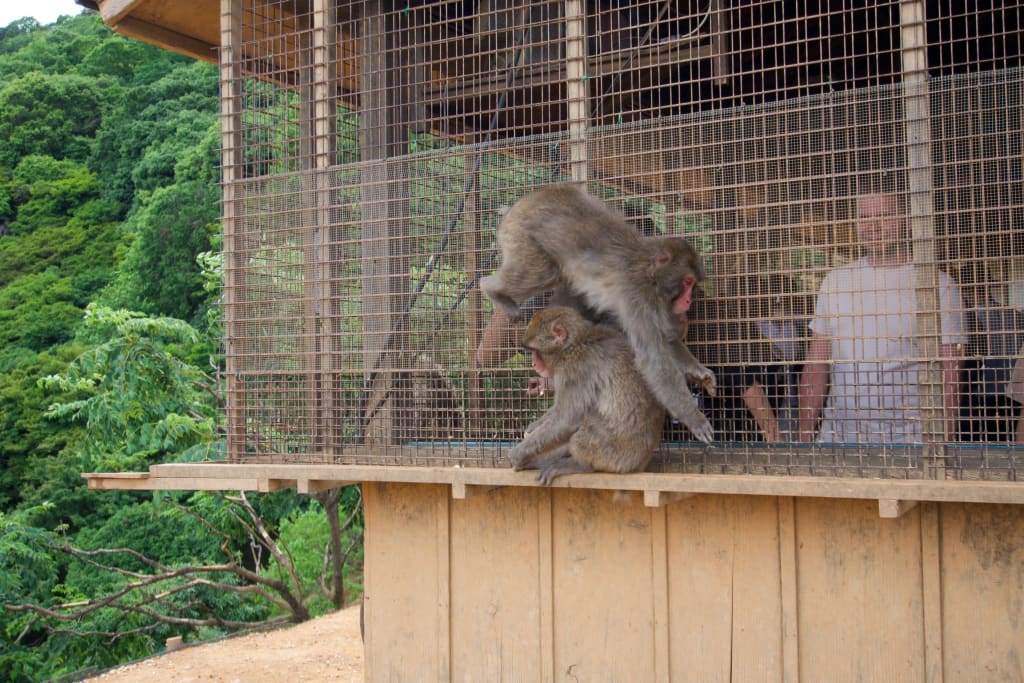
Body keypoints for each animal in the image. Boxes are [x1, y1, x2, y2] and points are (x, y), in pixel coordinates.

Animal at [480, 183, 716, 443]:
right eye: (687, 282)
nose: (688, 299)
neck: (648, 271)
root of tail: (531, 197)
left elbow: (666, 337)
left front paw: (699, 372)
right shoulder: (637, 295)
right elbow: (652, 355)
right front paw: (694, 418)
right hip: (522, 235)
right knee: (542, 272)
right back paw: (492, 290)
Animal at [508, 306, 666, 484]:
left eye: (535, 351)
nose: (534, 363)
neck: (573, 345)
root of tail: (640, 464)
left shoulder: (576, 369)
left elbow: (566, 420)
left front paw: (517, 454)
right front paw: (533, 427)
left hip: (614, 456)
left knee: (585, 421)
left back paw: (580, 465)